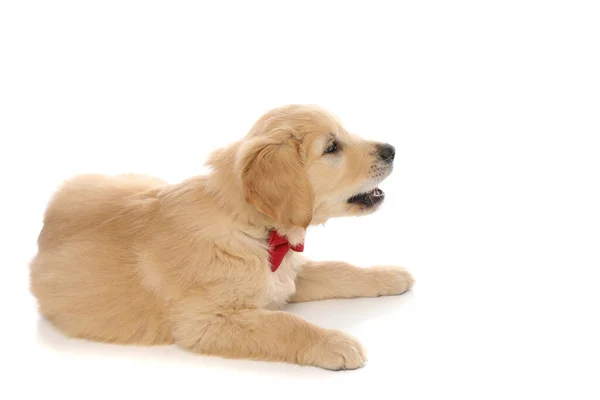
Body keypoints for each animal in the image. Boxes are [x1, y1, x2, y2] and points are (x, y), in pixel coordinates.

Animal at [28, 104, 412, 370]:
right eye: (332, 147)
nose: (392, 149)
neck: (257, 231)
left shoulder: (288, 275)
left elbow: (338, 269)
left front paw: (388, 275)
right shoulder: (206, 321)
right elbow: (285, 323)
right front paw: (334, 343)